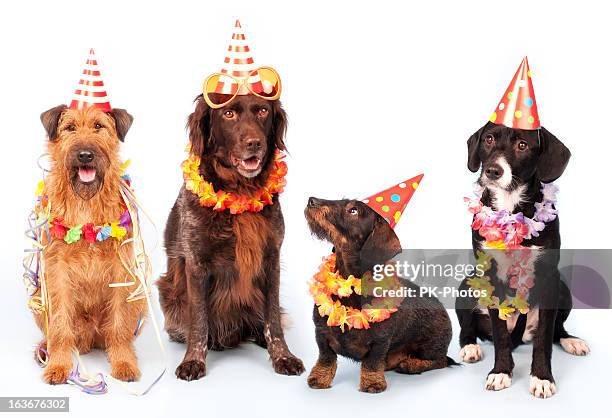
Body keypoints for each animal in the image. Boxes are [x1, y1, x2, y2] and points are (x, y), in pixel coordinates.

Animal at [36, 105, 146, 386]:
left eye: (98, 126)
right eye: (70, 128)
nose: (85, 155)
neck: (85, 201)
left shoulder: (121, 272)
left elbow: (119, 325)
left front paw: (124, 362)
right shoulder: (58, 272)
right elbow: (61, 327)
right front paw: (58, 365)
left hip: (139, 297)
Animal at [155, 94, 304, 378]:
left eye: (263, 111)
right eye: (228, 114)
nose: (254, 143)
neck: (241, 188)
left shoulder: (271, 258)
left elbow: (273, 320)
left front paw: (283, 356)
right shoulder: (196, 263)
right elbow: (199, 321)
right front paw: (193, 360)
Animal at [306, 198, 454, 394]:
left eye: (353, 210)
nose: (311, 200)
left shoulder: (380, 340)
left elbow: (372, 362)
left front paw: (372, 383)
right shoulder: (321, 333)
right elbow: (326, 358)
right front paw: (319, 378)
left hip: (431, 345)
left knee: (441, 361)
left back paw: (412, 364)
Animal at [456, 121, 592, 398]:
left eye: (522, 145)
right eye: (488, 139)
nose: (492, 171)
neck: (511, 206)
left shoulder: (549, 277)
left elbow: (544, 340)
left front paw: (541, 377)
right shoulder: (490, 276)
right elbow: (499, 335)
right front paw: (500, 372)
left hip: (563, 288)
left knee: (556, 330)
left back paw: (571, 340)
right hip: (466, 285)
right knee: (468, 326)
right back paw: (470, 346)